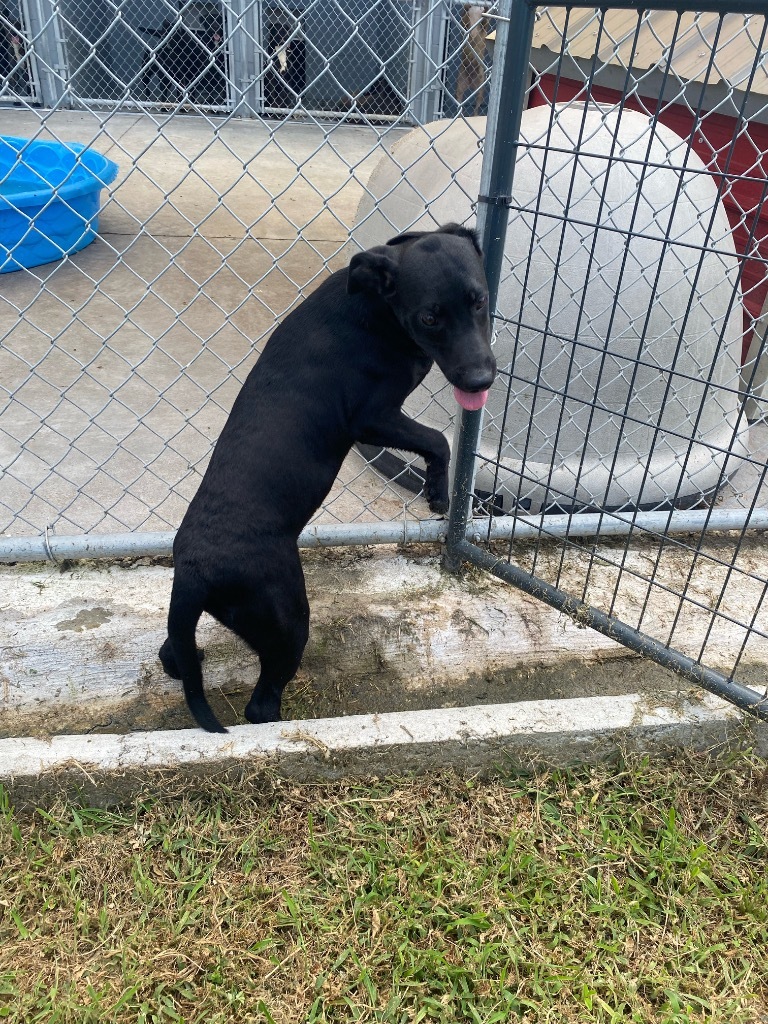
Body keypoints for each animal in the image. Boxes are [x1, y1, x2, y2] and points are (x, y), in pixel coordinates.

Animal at [161, 226, 495, 737]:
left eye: (480, 302)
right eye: (430, 317)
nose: (481, 381)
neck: (376, 306)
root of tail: (194, 571)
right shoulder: (371, 418)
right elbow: (438, 440)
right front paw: (438, 493)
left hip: (205, 623)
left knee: (172, 654)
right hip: (287, 621)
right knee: (260, 705)